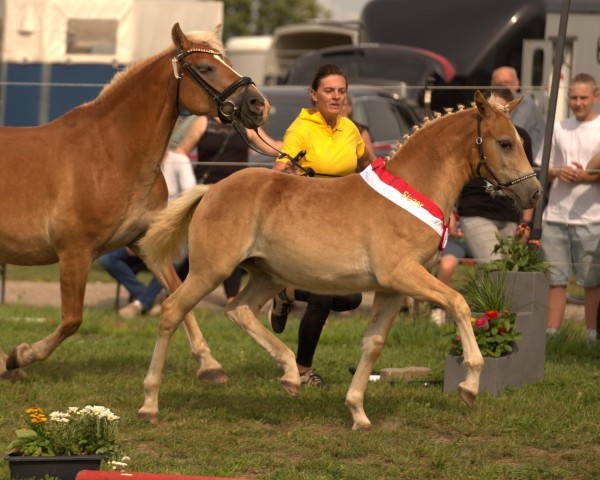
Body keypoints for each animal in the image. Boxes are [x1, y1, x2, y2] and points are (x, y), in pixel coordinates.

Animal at [0, 22, 268, 382]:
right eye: (205, 67)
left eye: (227, 61)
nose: (258, 104)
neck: (111, 155)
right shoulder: (75, 252)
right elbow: (72, 321)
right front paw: (20, 355)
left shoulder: (145, 243)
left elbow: (177, 293)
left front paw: (209, 364)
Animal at [138, 91, 540, 432]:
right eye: (505, 143)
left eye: (520, 142)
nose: (533, 192)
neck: (411, 191)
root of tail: (211, 190)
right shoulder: (404, 274)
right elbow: (458, 303)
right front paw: (470, 385)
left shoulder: (392, 289)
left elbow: (373, 343)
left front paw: (358, 412)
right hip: (211, 270)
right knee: (173, 310)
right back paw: (151, 404)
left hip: (266, 275)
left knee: (239, 310)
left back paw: (289, 375)